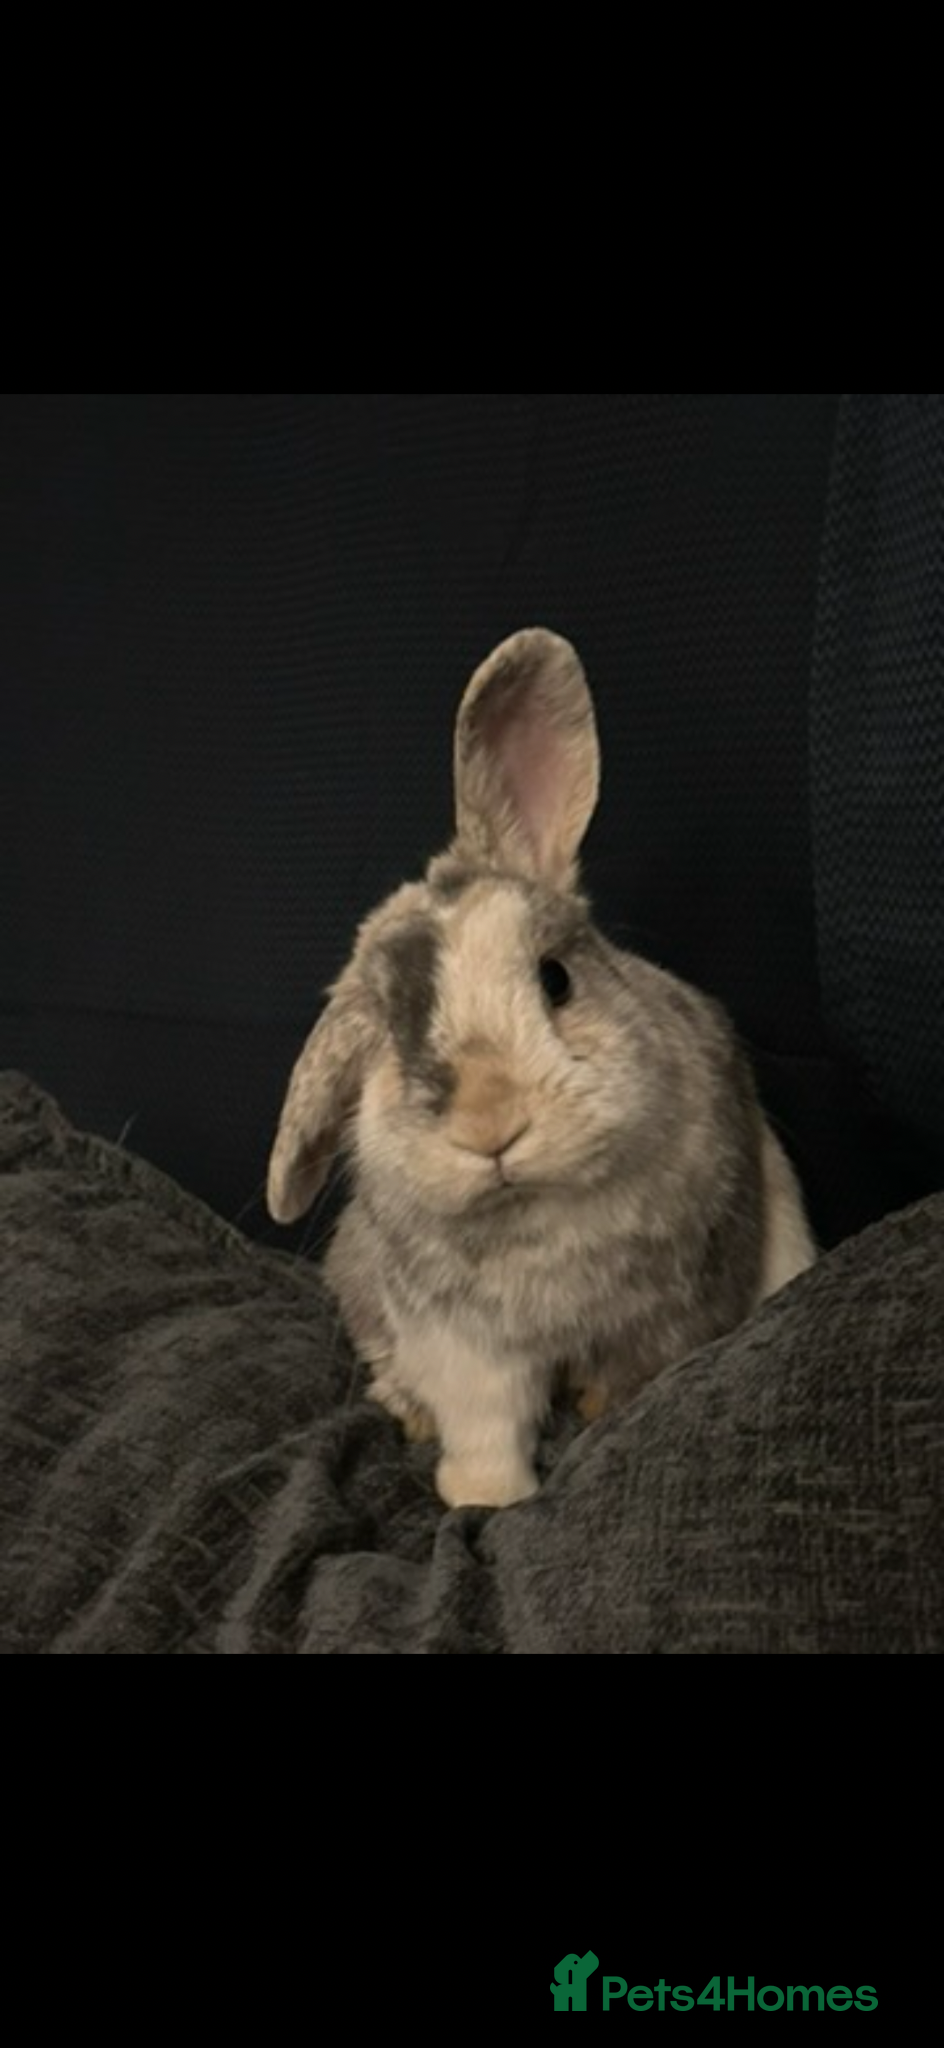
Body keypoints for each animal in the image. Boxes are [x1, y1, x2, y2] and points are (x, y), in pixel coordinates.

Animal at [267, 628, 816, 1509]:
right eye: (389, 1033)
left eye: (555, 978)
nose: (491, 1125)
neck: (535, 1218)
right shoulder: (464, 1348)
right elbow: (486, 1429)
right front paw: (485, 1500)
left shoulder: (674, 1311)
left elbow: (628, 1390)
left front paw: (587, 1425)